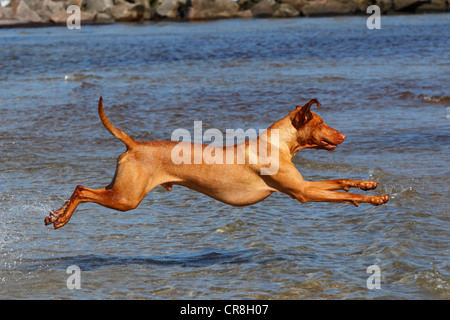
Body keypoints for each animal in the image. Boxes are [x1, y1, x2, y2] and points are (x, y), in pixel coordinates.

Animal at [46, 98, 390, 230]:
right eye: (320, 122)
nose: (343, 134)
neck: (275, 142)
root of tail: (135, 144)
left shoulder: (302, 185)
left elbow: (340, 181)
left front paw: (367, 183)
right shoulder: (302, 193)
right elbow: (343, 194)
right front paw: (374, 198)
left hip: (120, 187)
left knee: (81, 188)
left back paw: (56, 214)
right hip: (126, 199)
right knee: (81, 189)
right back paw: (61, 219)